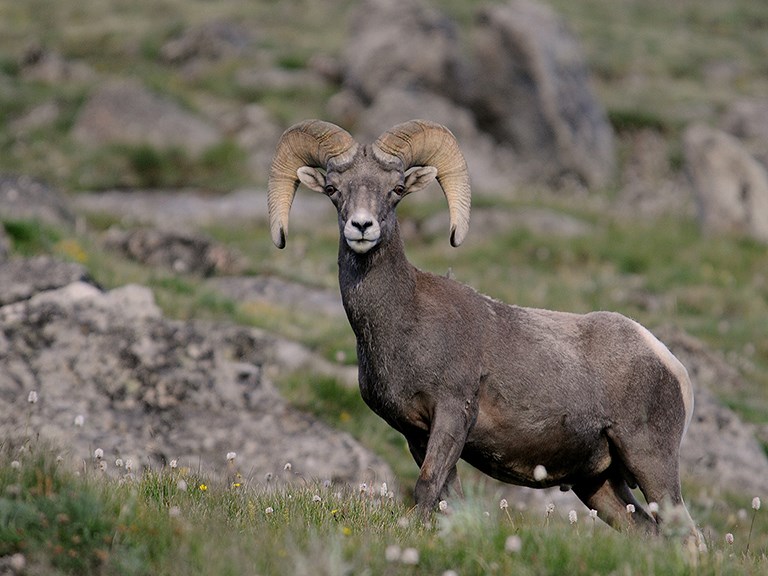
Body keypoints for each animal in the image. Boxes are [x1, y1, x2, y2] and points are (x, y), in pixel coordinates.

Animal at [267, 119, 700, 540]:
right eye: (333, 190)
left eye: (396, 189)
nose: (361, 227)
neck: (404, 319)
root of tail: (667, 361)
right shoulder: (416, 433)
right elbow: (448, 499)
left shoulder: (452, 414)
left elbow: (427, 487)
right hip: (598, 485)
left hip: (650, 461)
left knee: (688, 535)